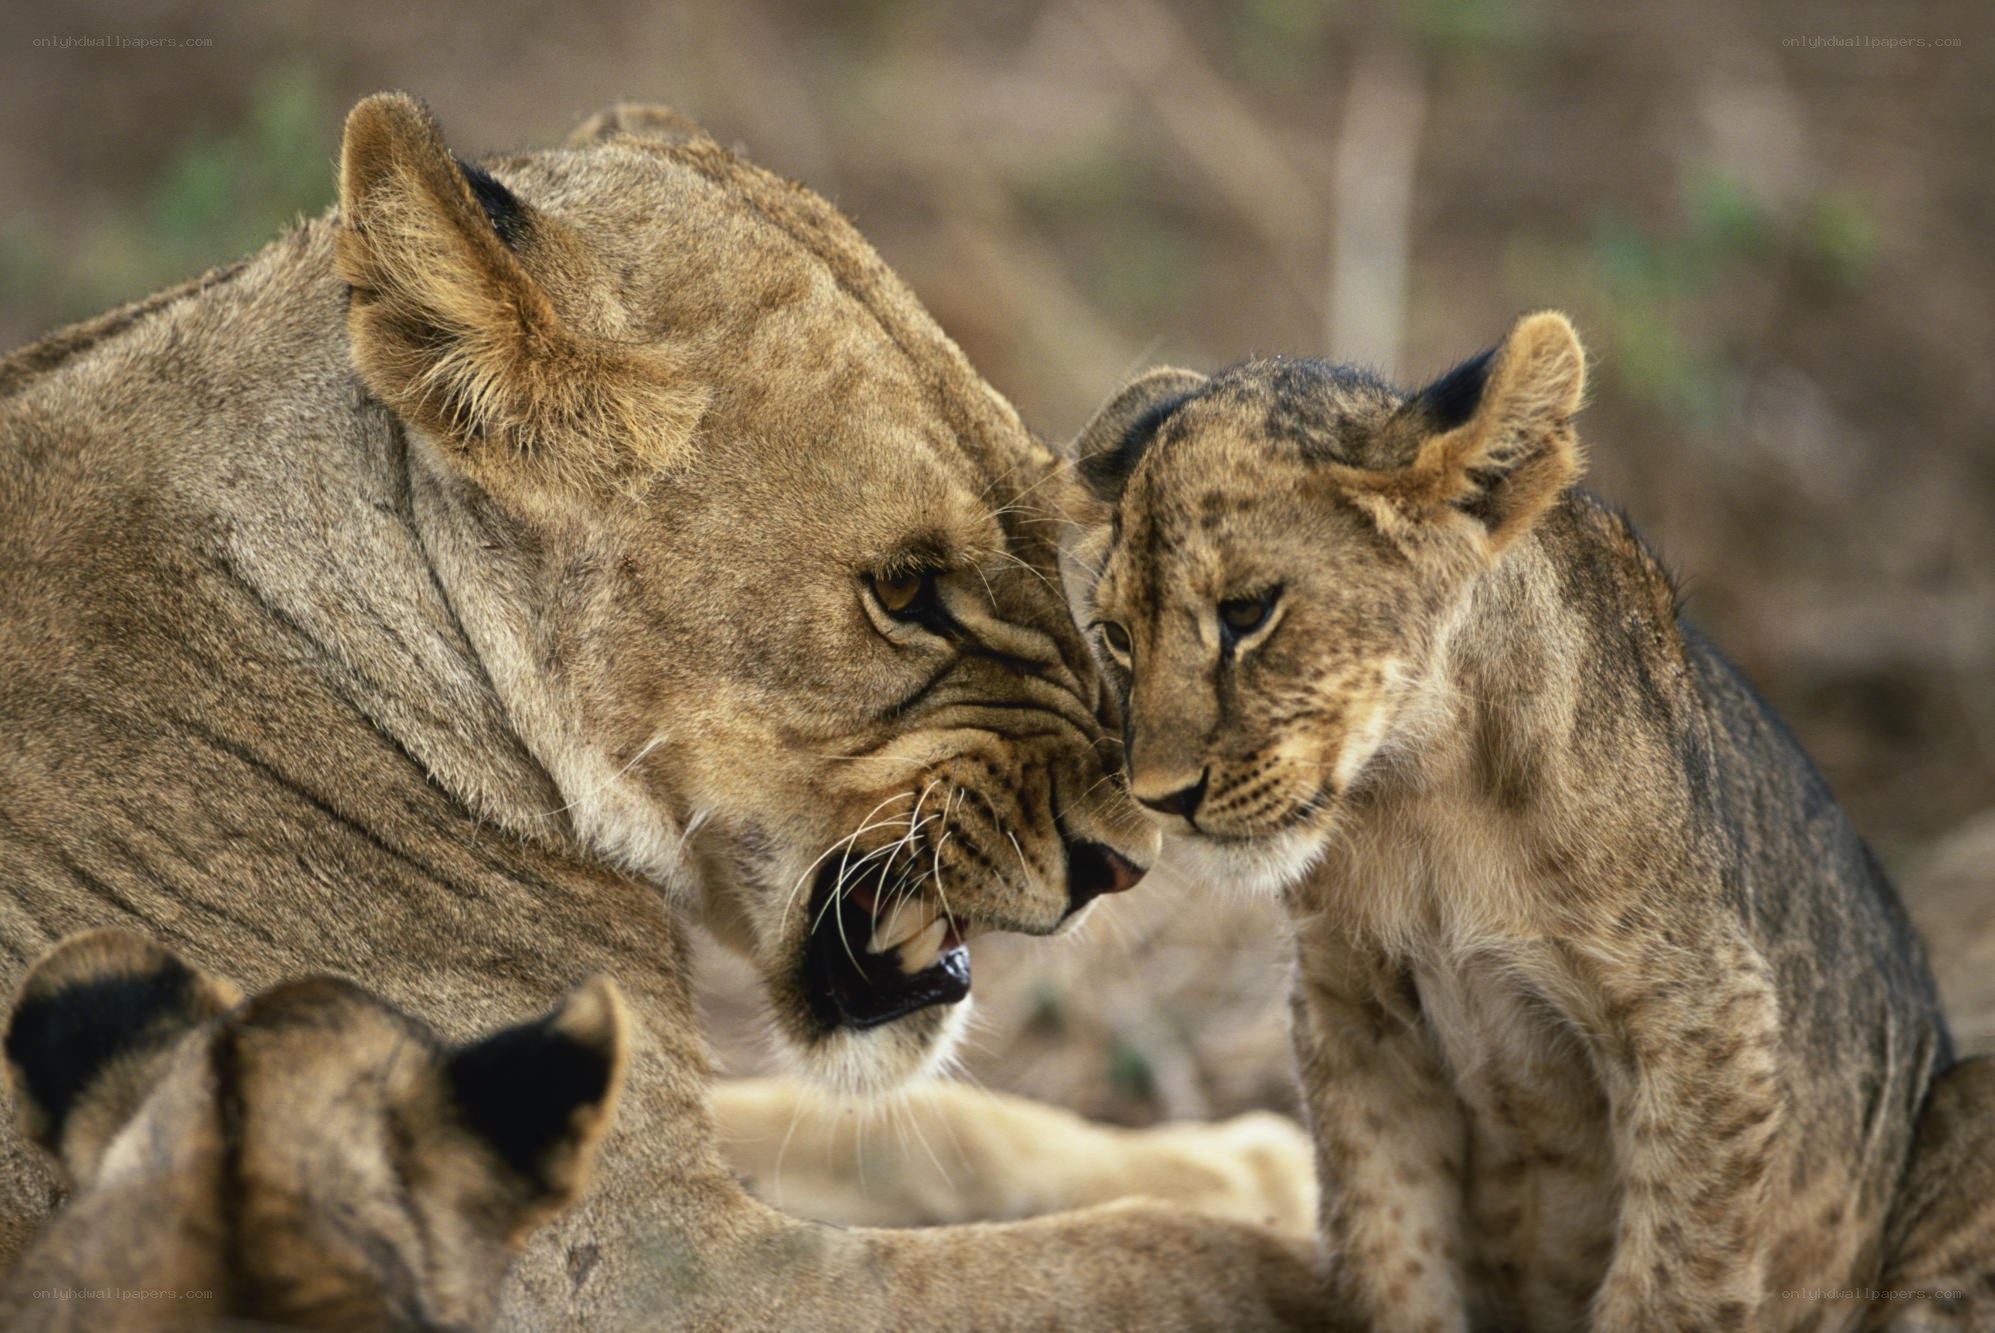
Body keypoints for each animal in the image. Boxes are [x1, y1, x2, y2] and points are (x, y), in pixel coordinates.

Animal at [1065, 311, 1995, 1330]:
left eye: (1245, 612)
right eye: (1116, 637)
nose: (1159, 795)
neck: (1420, 796)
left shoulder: (1706, 1014)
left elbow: (1669, 1280)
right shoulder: (1355, 1017)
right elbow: (1391, 1255)